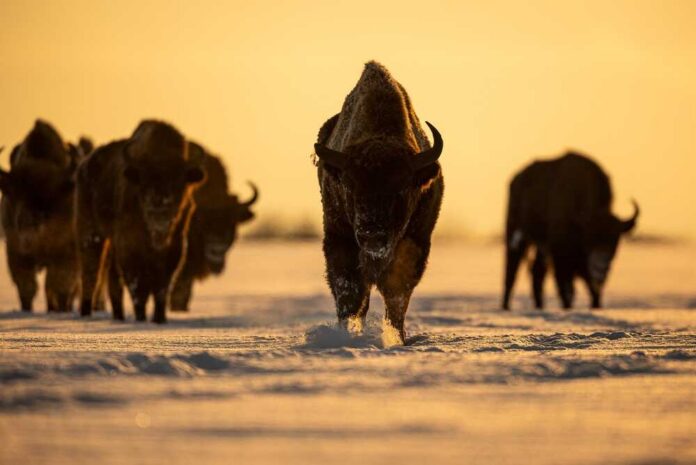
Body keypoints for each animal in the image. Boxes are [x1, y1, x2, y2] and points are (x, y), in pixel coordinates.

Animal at [0, 120, 81, 311]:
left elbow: (60, 287)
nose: (27, 222)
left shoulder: (66, 256)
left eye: (51, 193)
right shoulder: (15, 253)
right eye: (12, 193)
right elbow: (27, 288)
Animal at [76, 120, 205, 323]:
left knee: (113, 281)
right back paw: (86, 313)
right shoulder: (129, 246)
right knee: (91, 273)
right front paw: (141, 317)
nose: (159, 203)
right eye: (145, 181)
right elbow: (138, 286)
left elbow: (161, 287)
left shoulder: (173, 248)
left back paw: (119, 316)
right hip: (91, 234)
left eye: (179, 181)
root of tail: (83, 166)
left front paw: (159, 319)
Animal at [314, 61, 444, 345]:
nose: (372, 234)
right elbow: (349, 292)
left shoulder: (415, 242)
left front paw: (397, 340)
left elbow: (396, 295)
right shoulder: (339, 239)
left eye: (402, 187)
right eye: (349, 184)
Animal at [503, 151, 639, 310]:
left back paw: (539, 306)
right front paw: (567, 306)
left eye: (615, 238)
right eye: (590, 237)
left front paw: (595, 305)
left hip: (540, 247)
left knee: (537, 272)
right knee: (511, 272)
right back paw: (506, 306)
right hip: (515, 235)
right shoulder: (560, 256)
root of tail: (516, 179)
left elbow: (592, 291)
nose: (600, 265)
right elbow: (566, 288)